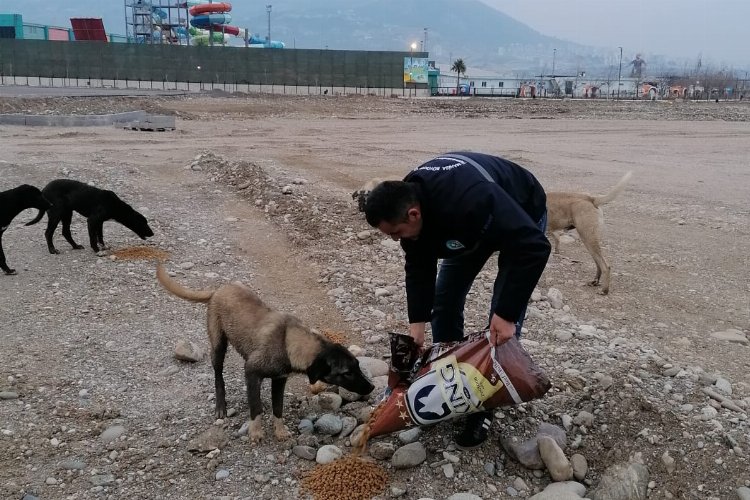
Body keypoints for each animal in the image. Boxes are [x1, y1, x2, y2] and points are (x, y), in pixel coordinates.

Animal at [26, 179, 154, 254]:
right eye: (144, 223)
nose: (152, 233)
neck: (115, 205)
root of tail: (43, 191)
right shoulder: (92, 220)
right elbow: (93, 237)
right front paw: (96, 250)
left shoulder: (100, 222)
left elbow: (100, 236)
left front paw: (103, 247)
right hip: (57, 213)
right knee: (48, 233)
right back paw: (52, 250)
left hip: (67, 213)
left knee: (66, 232)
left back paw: (75, 246)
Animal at [157, 264, 374, 440]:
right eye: (346, 373)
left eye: (358, 366)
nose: (372, 388)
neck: (288, 340)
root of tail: (220, 288)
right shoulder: (252, 371)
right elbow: (256, 407)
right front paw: (255, 431)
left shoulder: (279, 380)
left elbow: (277, 407)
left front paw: (280, 431)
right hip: (218, 345)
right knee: (218, 376)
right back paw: (221, 406)